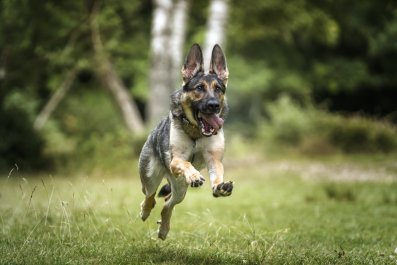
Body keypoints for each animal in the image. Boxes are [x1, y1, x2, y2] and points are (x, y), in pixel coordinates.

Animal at [138, 42, 232, 239]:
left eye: (218, 89)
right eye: (199, 88)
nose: (214, 105)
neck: (196, 132)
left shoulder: (214, 160)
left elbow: (217, 174)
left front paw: (220, 186)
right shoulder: (176, 160)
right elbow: (187, 163)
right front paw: (194, 175)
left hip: (179, 188)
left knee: (167, 204)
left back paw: (164, 229)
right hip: (151, 177)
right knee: (150, 196)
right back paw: (145, 211)